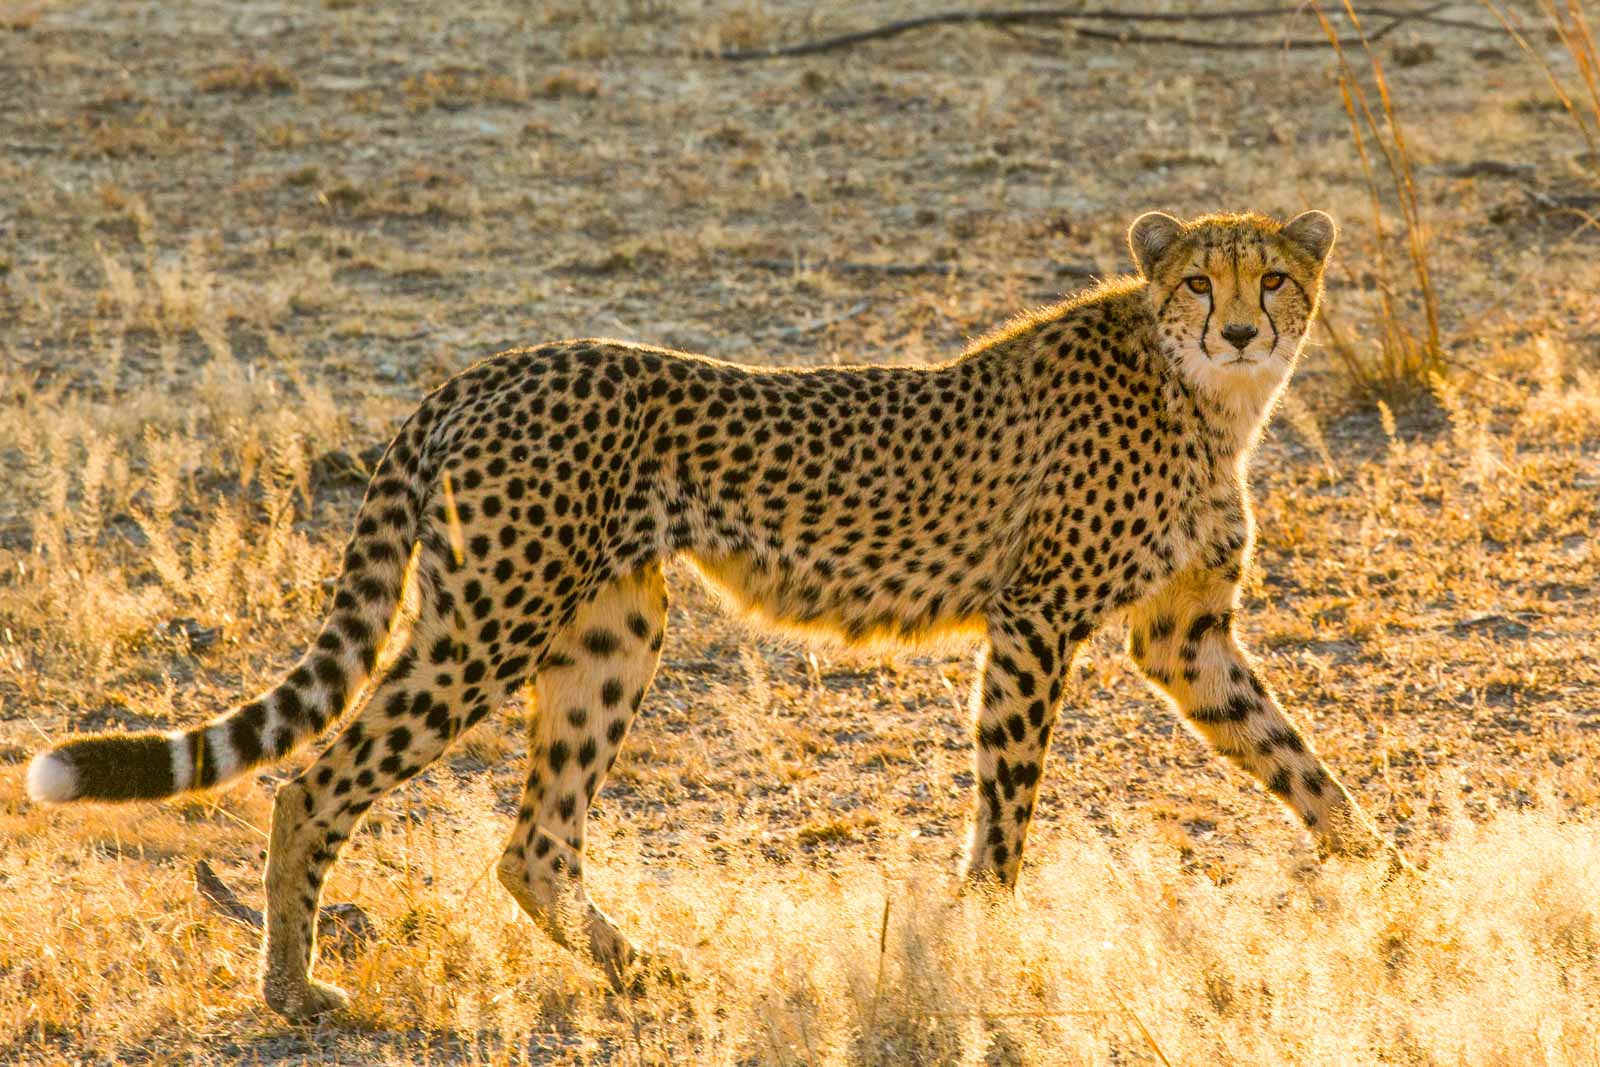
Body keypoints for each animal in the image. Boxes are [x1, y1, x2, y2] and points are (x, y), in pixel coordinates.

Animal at [31, 207, 1395, 1017]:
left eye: (1276, 278)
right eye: (1197, 280)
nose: (1239, 326)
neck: (1203, 398)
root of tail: (486, 367)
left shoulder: (1186, 636)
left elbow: (1302, 764)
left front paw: (1397, 881)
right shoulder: (1034, 621)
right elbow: (1006, 810)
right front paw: (989, 935)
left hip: (608, 632)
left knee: (532, 843)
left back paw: (650, 972)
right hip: (492, 620)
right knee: (315, 779)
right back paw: (292, 988)